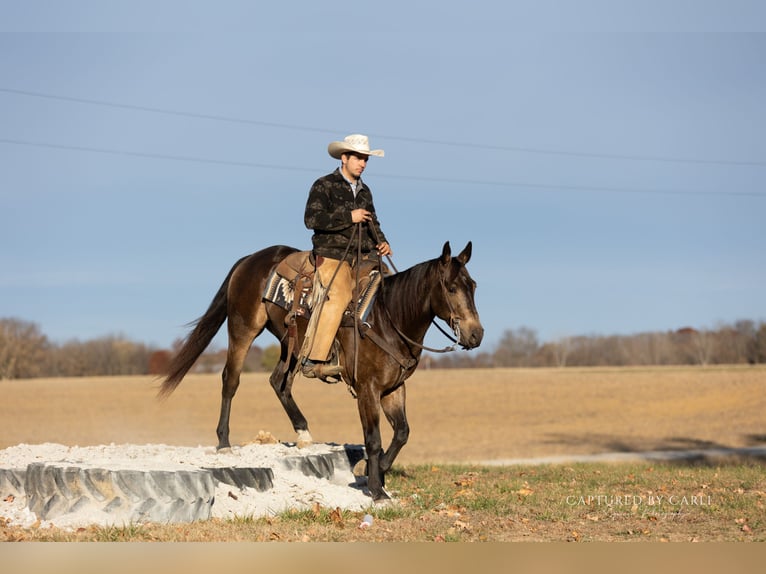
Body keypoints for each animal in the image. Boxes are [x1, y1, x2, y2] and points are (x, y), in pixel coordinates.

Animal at [158, 241, 483, 501]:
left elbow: (402, 433)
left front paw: (375, 472)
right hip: (243, 329)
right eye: (451, 288)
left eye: (473, 286)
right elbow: (373, 439)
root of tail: (250, 259)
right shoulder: (367, 389)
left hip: (291, 343)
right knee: (231, 380)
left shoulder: (393, 388)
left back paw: (304, 433)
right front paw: (375, 488)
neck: (388, 318)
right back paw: (224, 443)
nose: (476, 334)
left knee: (279, 382)